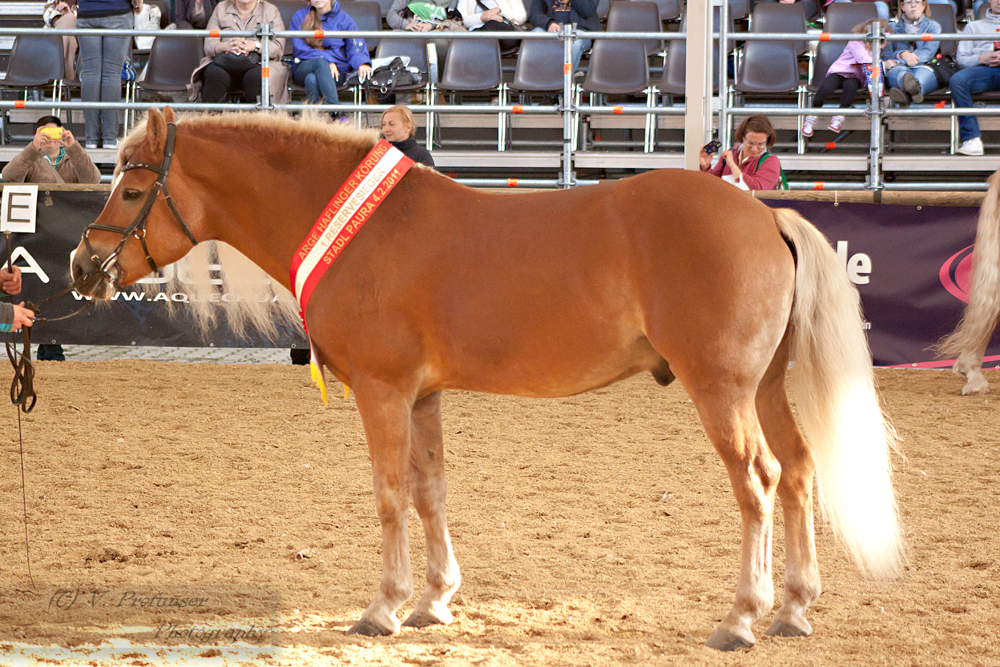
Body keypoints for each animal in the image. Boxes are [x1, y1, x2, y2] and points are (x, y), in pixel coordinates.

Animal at [72, 108, 900, 652]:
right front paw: (435, 600)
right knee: (798, 471)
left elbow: (388, 493)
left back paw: (741, 617)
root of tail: (765, 218)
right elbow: (430, 489)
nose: (82, 266)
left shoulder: (382, 390)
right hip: (764, 388)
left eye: (130, 187)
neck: (364, 228)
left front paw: (384, 606)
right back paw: (793, 607)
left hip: (722, 391)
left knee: (758, 480)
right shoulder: (423, 394)